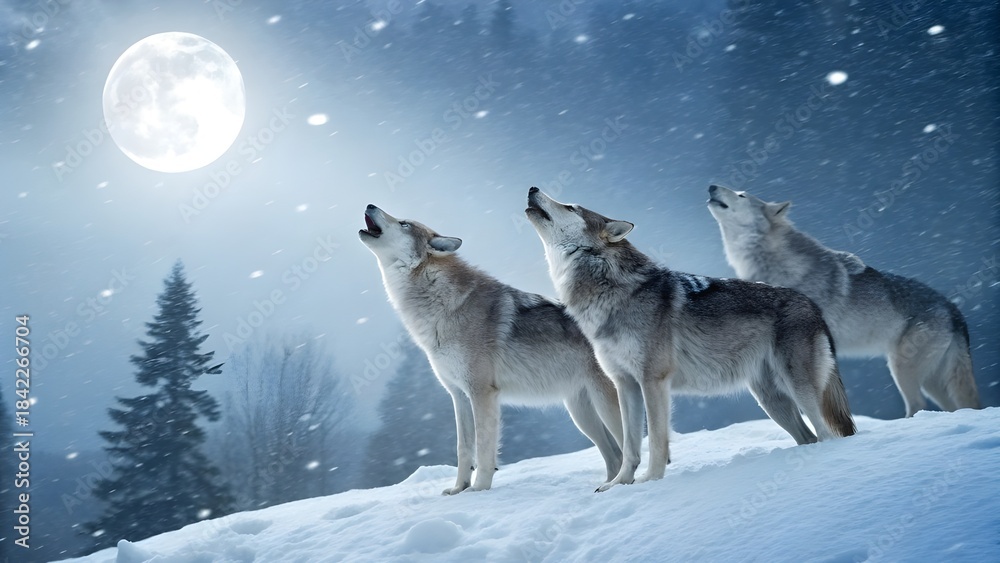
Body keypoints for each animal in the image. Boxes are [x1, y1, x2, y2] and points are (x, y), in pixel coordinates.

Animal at [359, 204, 624, 494]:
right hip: (582, 414)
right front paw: (458, 489)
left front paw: (478, 489)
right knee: (615, 455)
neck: (442, 306)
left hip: (606, 405)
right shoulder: (459, 396)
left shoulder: (482, 393)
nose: (370, 205)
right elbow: (463, 448)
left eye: (404, 223)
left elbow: (484, 449)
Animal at [525, 187, 855, 491]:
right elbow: (630, 445)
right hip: (771, 401)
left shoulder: (653, 381)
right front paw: (619, 484)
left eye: (570, 206)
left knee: (826, 434)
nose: (532, 189)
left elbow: (657, 441)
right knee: (809, 437)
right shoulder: (625, 384)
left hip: (798, 391)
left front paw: (651, 482)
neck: (609, 290)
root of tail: (812, 305)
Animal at [707, 184, 980, 417]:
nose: (711, 186)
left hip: (902, 368)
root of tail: (953, 308)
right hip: (933, 381)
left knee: (918, 404)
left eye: (742, 195)